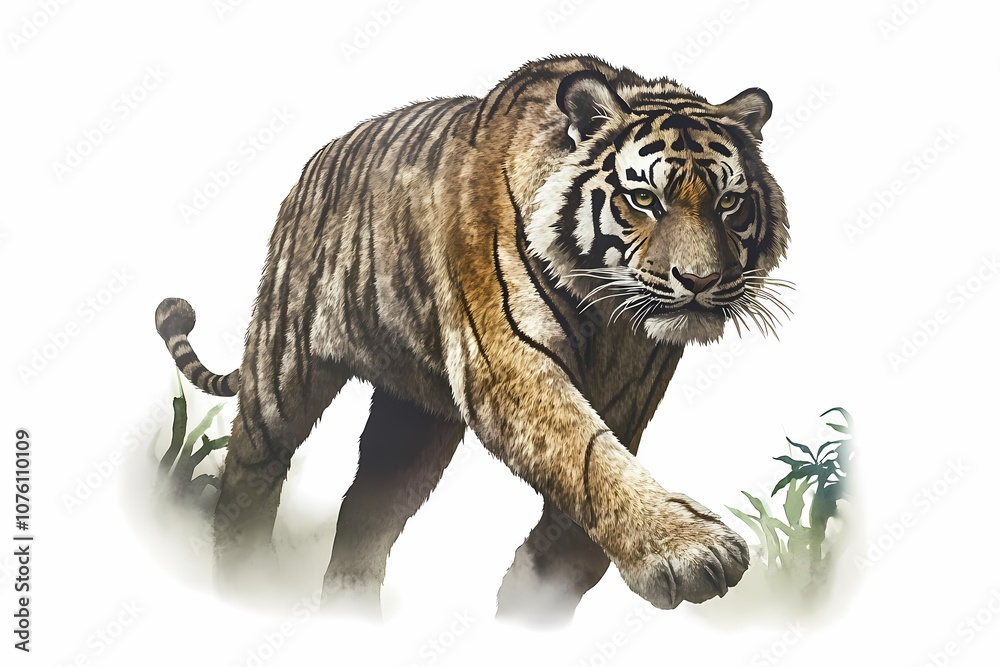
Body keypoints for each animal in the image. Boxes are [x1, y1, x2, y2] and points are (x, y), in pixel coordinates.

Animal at [154, 54, 790, 622]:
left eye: (730, 202)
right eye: (644, 199)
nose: (700, 282)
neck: (609, 314)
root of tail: (312, 167)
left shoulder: (632, 388)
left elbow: (592, 482)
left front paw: (535, 592)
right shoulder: (508, 364)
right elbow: (585, 450)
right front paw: (686, 550)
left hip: (412, 421)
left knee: (365, 511)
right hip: (281, 369)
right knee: (248, 475)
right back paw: (247, 587)